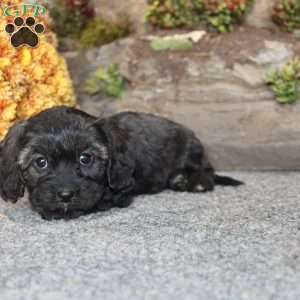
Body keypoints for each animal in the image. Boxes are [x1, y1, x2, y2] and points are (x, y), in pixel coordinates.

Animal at [0, 106, 244, 219]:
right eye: (41, 162)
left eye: (85, 158)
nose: (66, 195)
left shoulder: (120, 190)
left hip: (191, 150)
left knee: (206, 170)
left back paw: (192, 181)